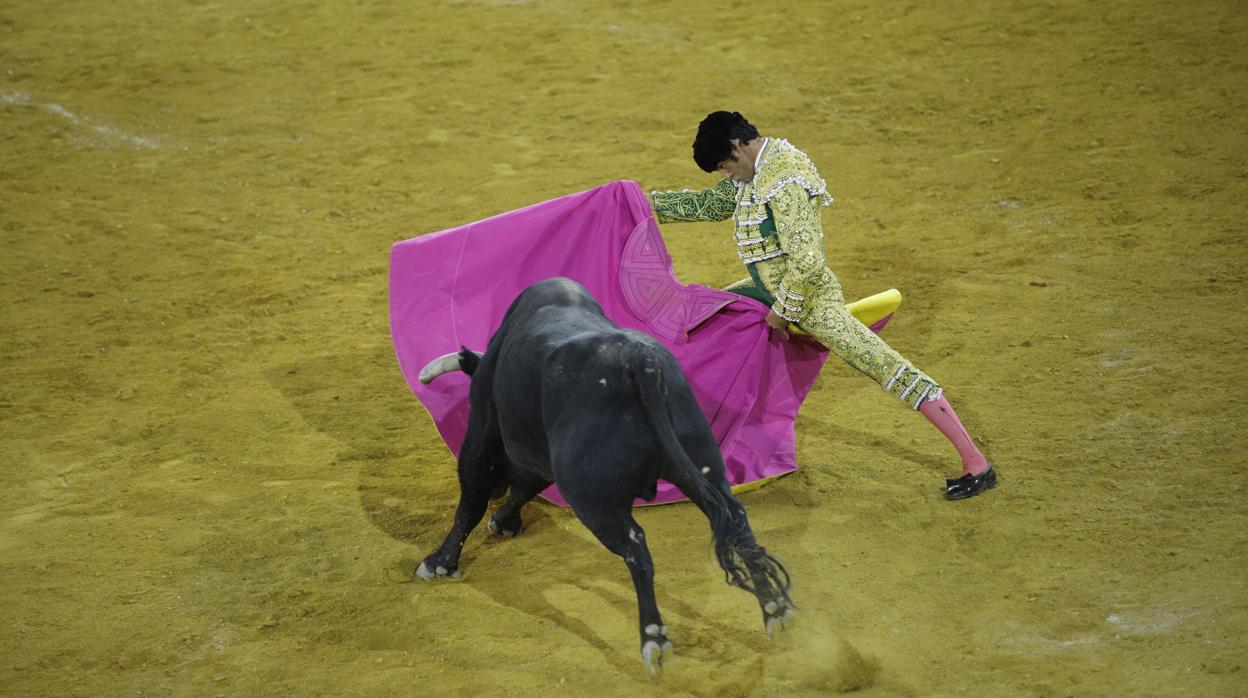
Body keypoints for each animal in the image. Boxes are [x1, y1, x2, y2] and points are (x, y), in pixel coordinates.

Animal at [414, 277, 793, 679]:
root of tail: (640, 362)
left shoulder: (483, 432)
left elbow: (471, 501)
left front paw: (439, 562)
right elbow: (526, 485)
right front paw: (503, 522)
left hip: (592, 498)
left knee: (635, 546)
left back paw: (654, 639)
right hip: (703, 465)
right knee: (735, 518)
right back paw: (775, 611)